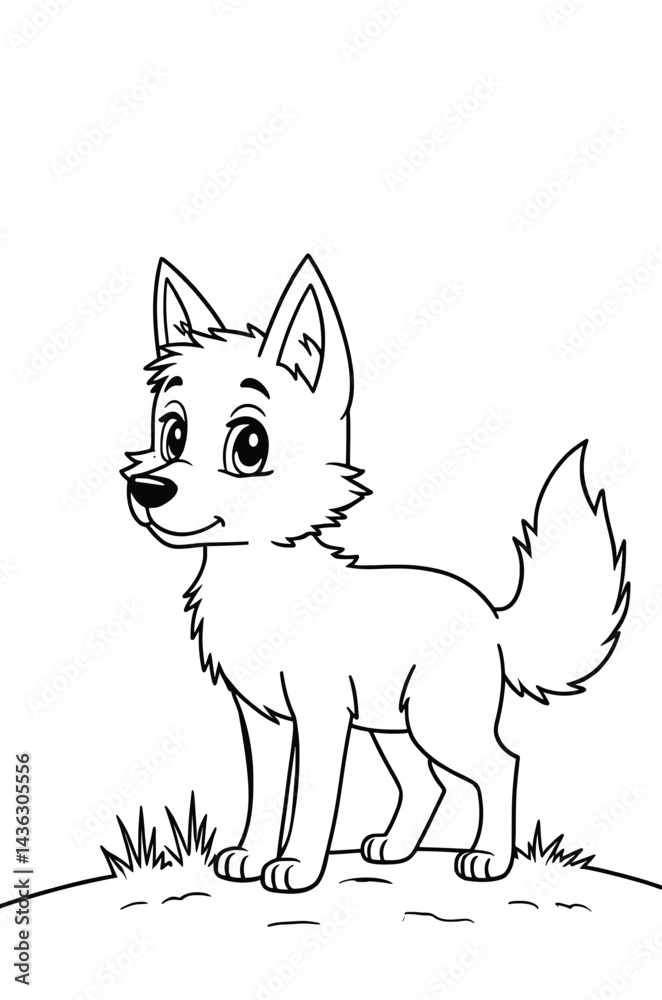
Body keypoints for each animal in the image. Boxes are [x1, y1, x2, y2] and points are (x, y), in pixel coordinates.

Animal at [122, 255, 628, 893]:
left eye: (249, 446)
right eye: (173, 434)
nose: (148, 489)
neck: (259, 589)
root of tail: (492, 615)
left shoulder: (319, 716)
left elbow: (311, 801)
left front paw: (295, 867)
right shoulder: (263, 721)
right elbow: (263, 797)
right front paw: (247, 857)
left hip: (438, 724)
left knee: (500, 765)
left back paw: (489, 859)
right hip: (395, 728)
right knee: (428, 786)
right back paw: (393, 848)